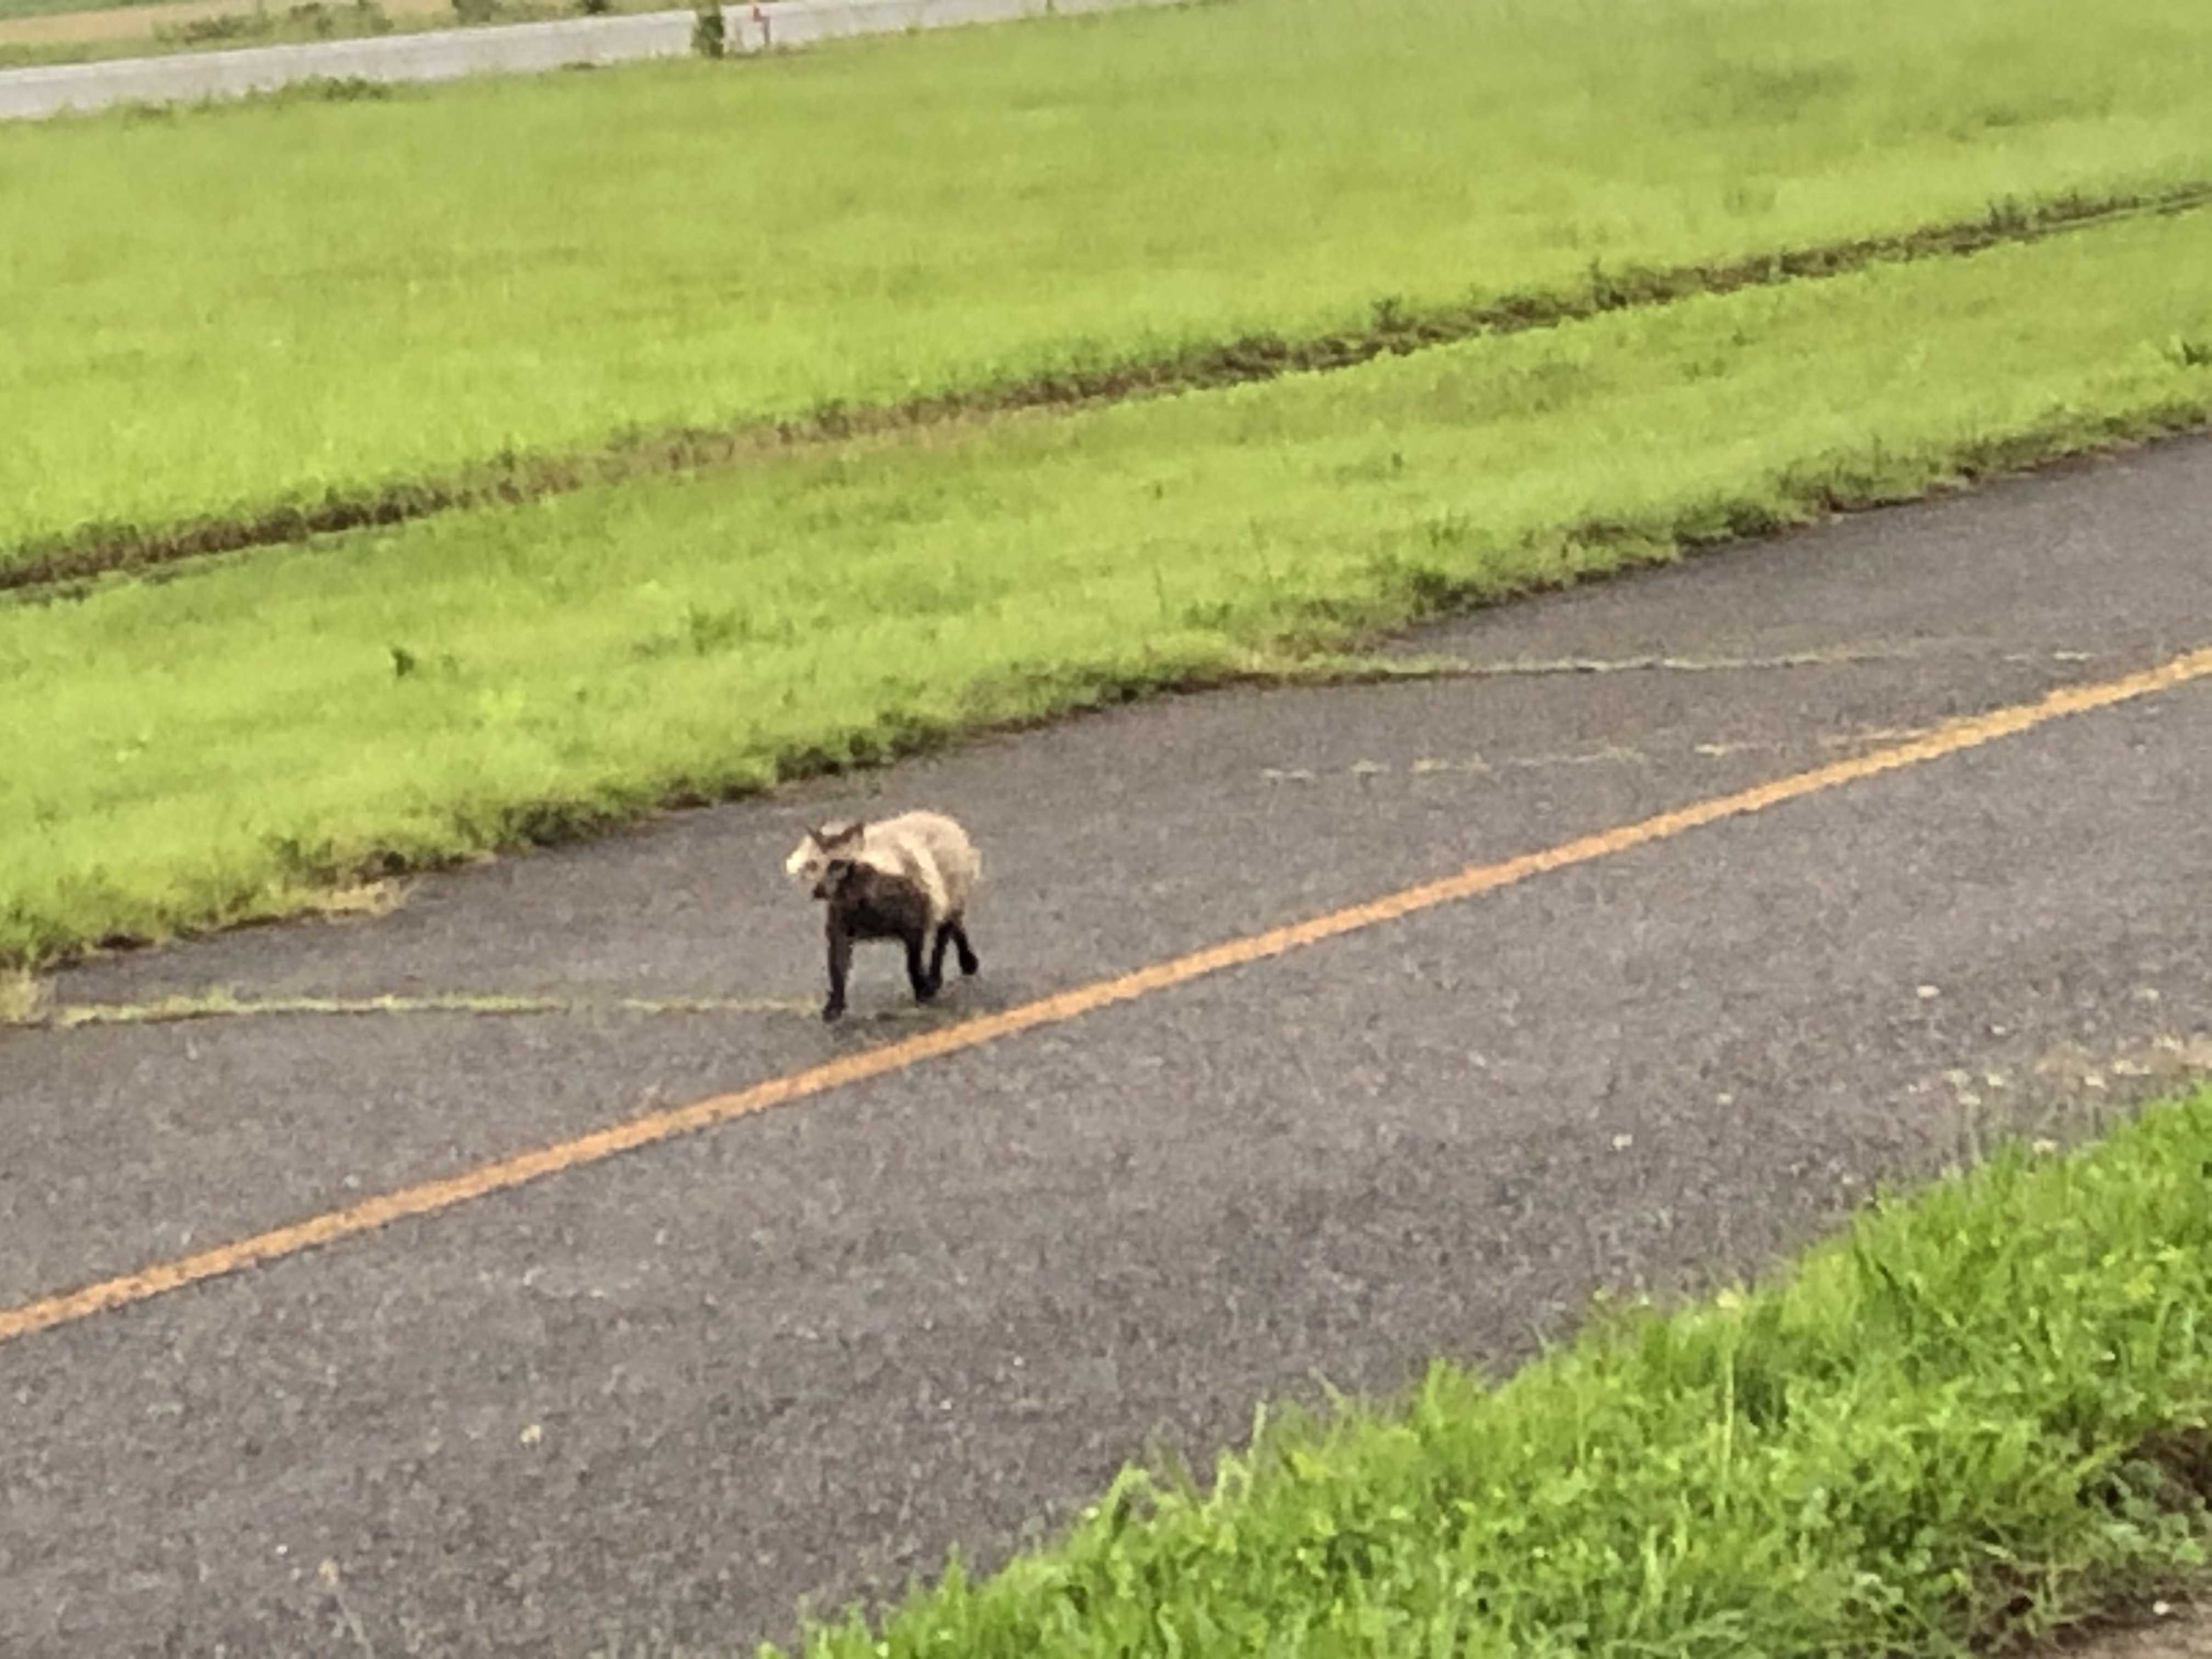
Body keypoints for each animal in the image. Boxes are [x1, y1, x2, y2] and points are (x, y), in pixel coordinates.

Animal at [783, 809, 982, 1022]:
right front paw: (834, 1008)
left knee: (944, 936)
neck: (859, 900)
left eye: (836, 865)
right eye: (812, 865)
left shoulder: (914, 926)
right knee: (956, 925)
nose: (818, 891)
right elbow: (837, 968)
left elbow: (913, 963)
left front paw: (922, 990)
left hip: (951, 893)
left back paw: (941, 976)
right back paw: (967, 963)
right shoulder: (839, 931)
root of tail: (942, 819)